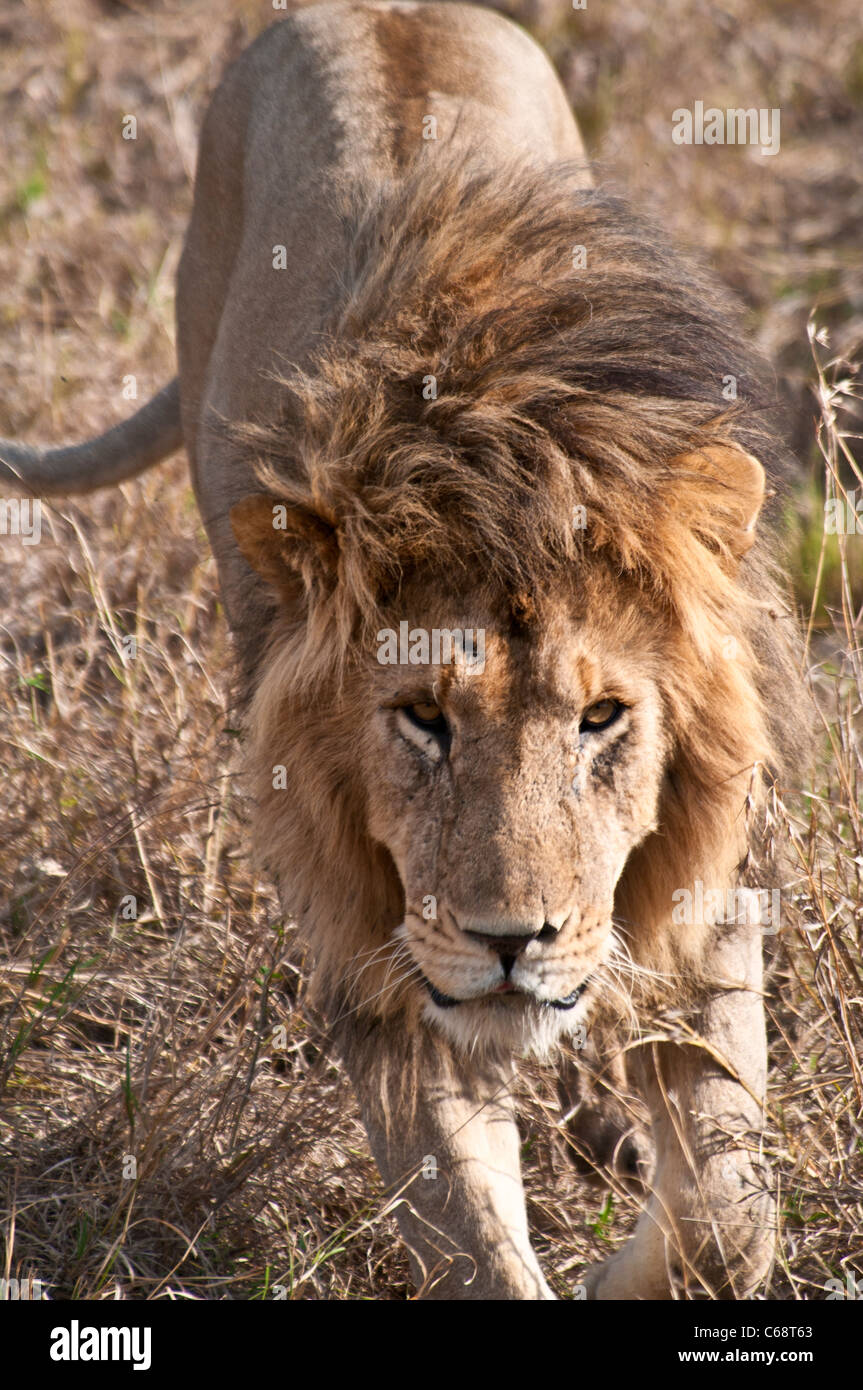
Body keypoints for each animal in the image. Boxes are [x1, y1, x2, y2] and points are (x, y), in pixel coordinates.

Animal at [1, 2, 806, 1301]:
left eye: (602, 718)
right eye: (422, 717)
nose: (510, 943)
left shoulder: (706, 888)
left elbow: (727, 1208)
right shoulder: (380, 957)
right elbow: (470, 1239)